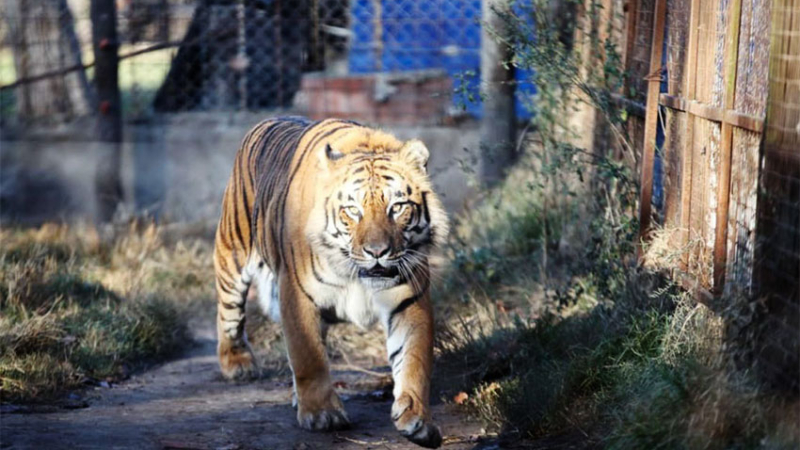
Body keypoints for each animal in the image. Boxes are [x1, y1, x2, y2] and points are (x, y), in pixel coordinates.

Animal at [213, 117, 448, 448]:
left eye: (398, 207)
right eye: (353, 211)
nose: (377, 251)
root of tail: (265, 121)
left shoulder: (409, 300)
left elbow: (413, 359)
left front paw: (417, 420)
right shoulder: (296, 295)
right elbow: (307, 357)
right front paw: (322, 414)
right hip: (232, 255)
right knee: (228, 314)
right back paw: (238, 364)